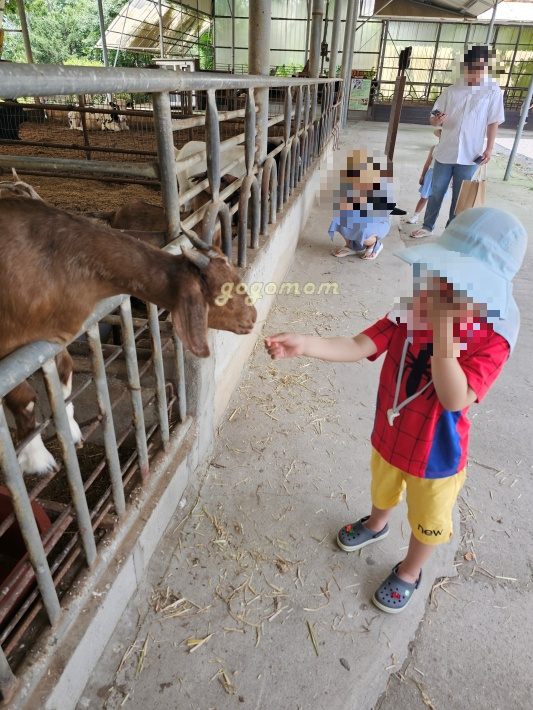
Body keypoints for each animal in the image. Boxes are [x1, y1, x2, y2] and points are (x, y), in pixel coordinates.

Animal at [0, 197, 258, 476]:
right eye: (221, 295)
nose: (253, 317)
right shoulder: (12, 345)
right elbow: (24, 396)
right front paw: (36, 459)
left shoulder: (52, 339)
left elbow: (64, 371)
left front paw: (71, 430)